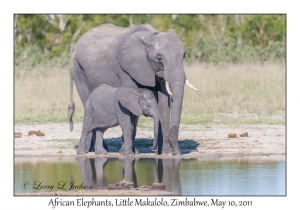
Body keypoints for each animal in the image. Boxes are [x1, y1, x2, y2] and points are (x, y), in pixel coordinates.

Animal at [69, 23, 198, 154]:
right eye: (159, 58)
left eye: (184, 55)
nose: (177, 153)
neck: (150, 36)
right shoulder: (125, 68)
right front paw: (127, 152)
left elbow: (163, 105)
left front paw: (164, 153)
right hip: (78, 70)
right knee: (87, 102)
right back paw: (90, 150)